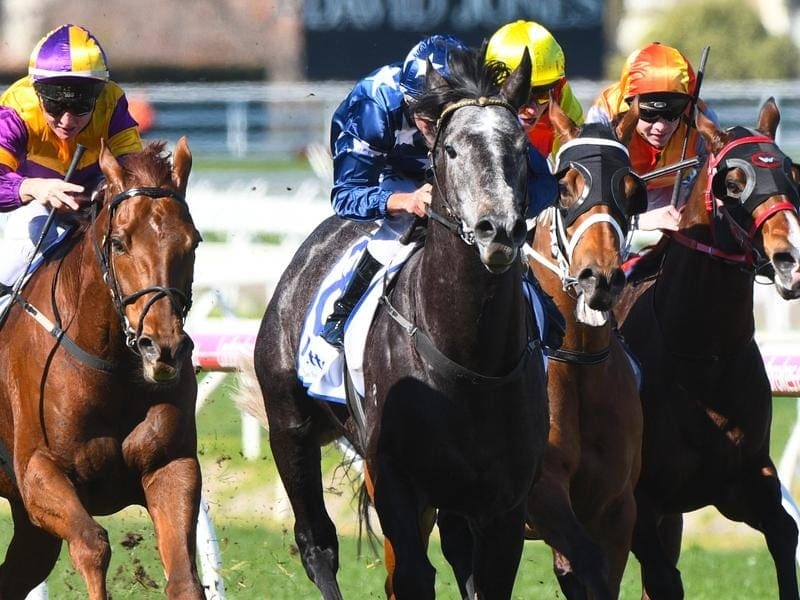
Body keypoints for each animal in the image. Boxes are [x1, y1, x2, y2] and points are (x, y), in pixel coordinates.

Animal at [0, 138, 206, 596]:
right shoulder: (37, 473)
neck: (111, 367)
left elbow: (185, 579)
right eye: (119, 242)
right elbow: (93, 544)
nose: (162, 348)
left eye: (194, 242)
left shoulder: (171, 466)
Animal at [256, 48, 552, 600]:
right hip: (289, 425)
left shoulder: (503, 498)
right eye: (451, 150)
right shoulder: (393, 475)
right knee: (317, 542)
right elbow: (412, 576)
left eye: (522, 148)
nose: (497, 231)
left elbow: (483, 578)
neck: (468, 359)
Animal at [616, 99, 800, 600]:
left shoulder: (745, 479)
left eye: (793, 172)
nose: (791, 259)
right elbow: (664, 580)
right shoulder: (637, 499)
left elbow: (784, 534)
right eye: (732, 184)